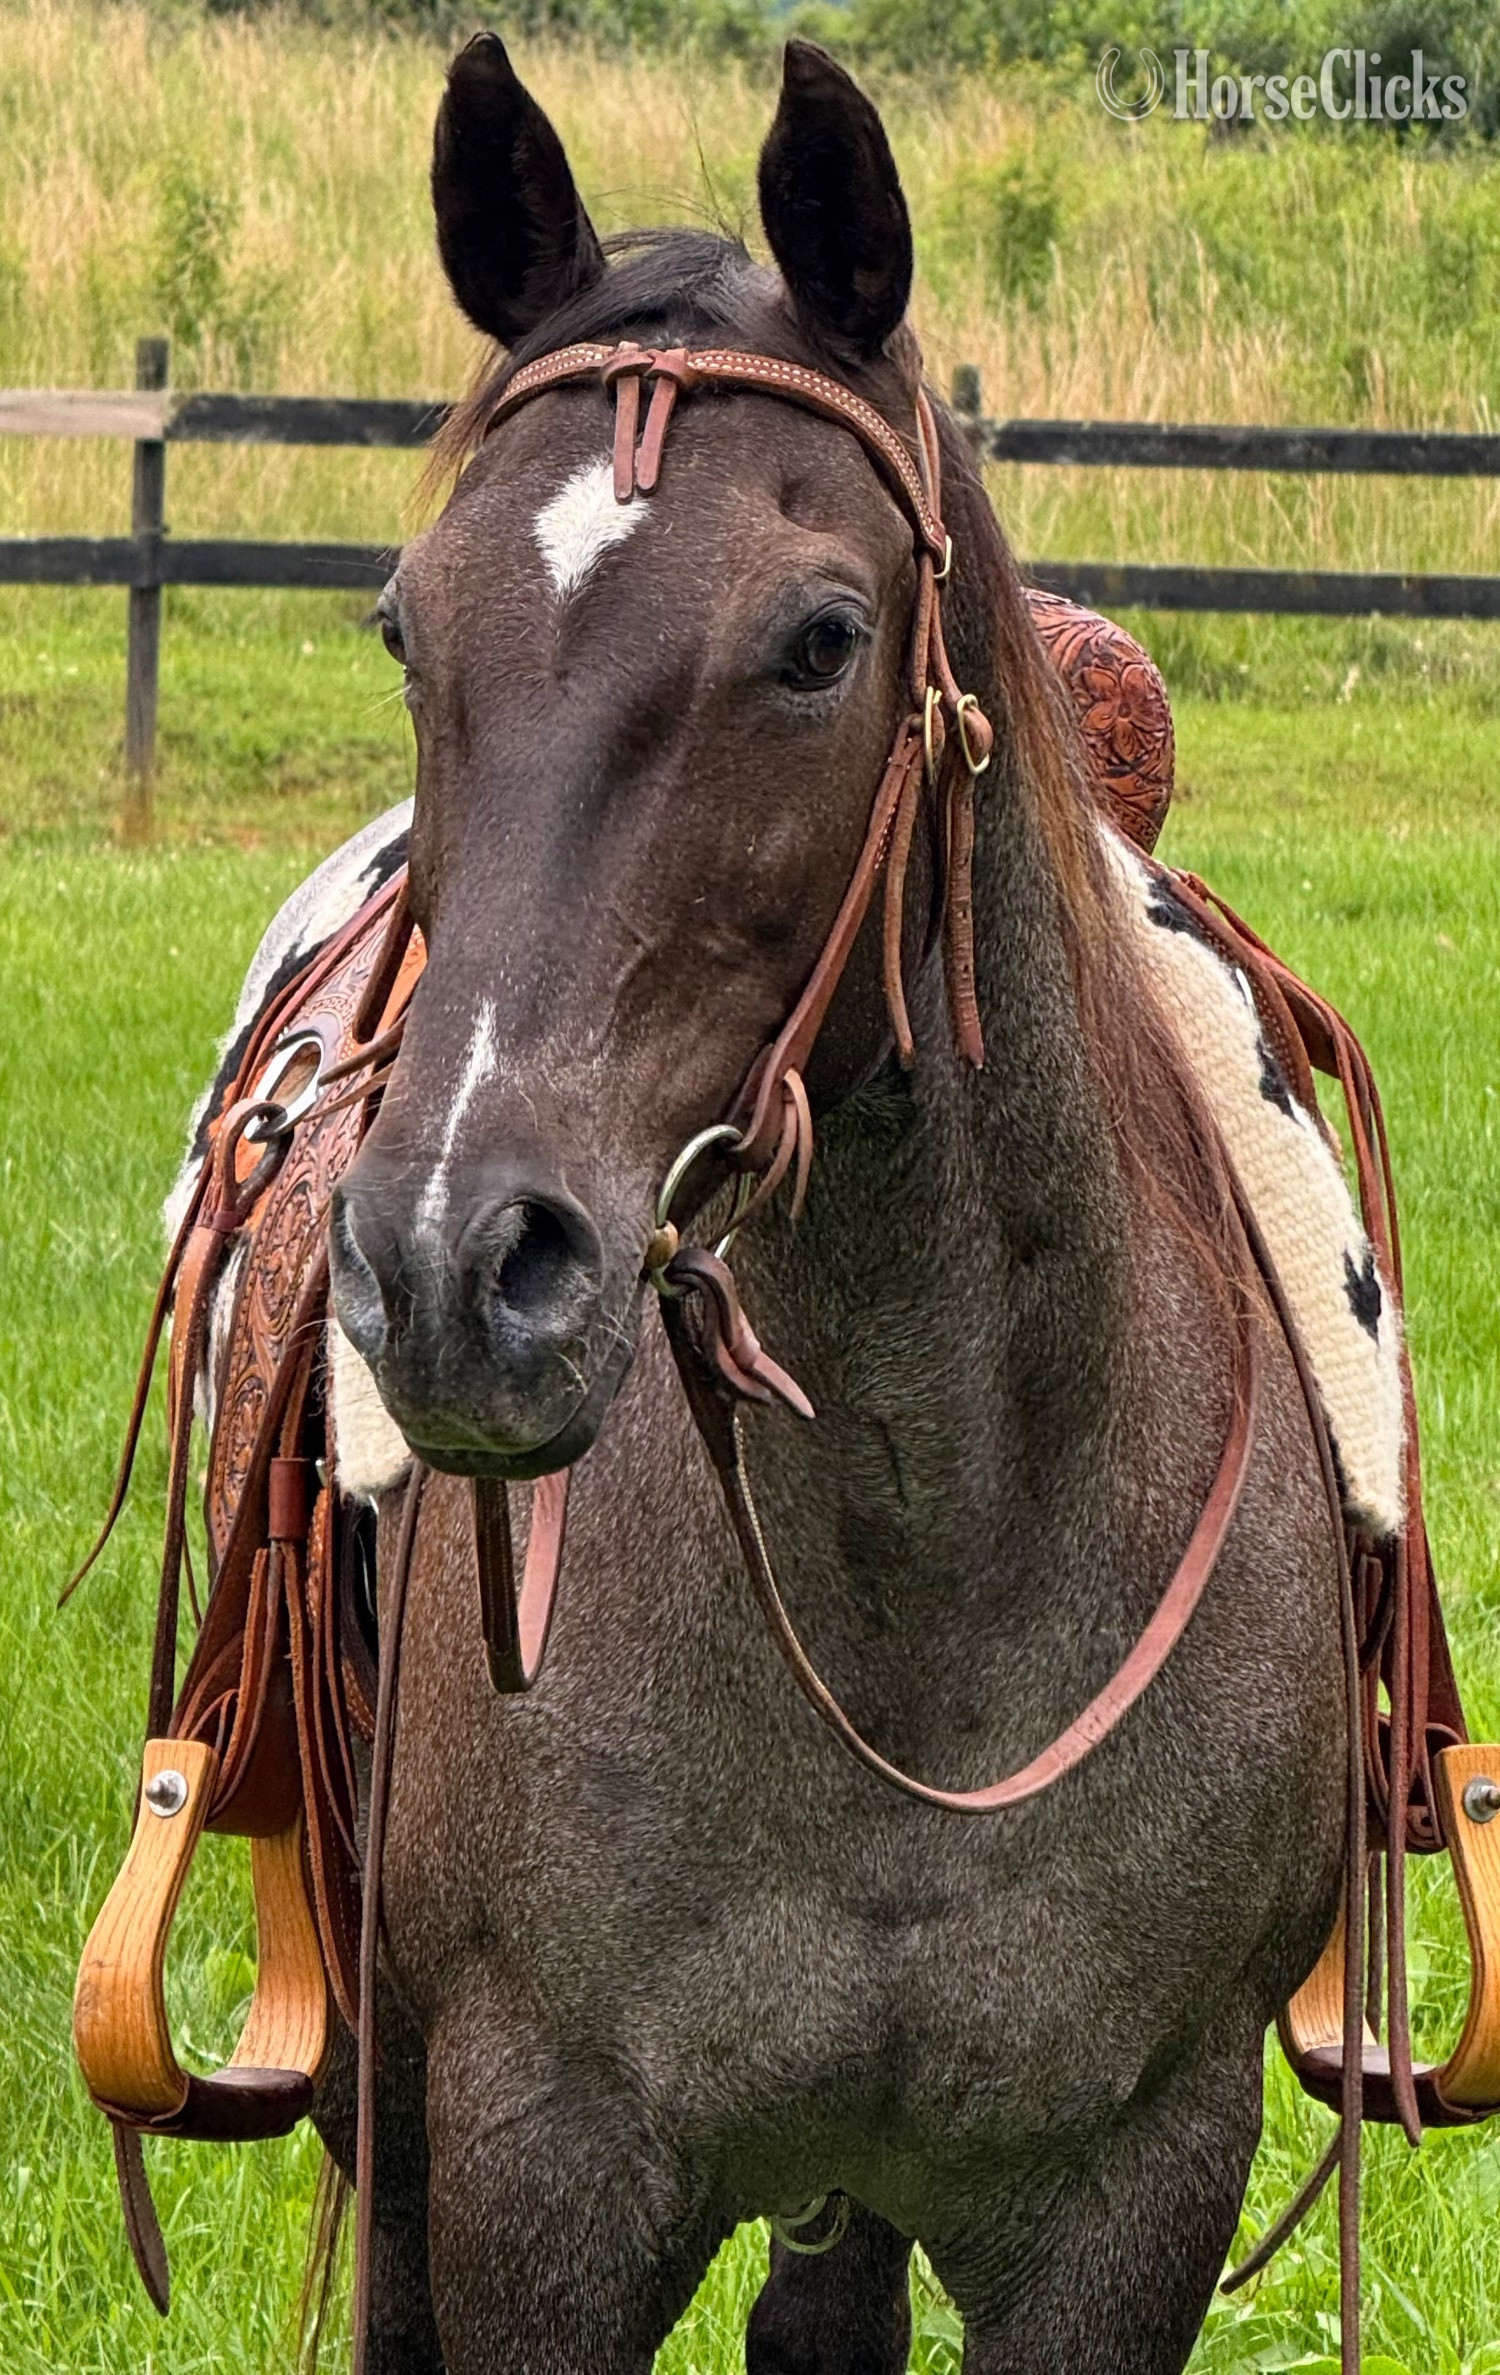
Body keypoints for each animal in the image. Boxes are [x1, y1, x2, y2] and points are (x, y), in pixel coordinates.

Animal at [312, 36, 1347, 2372]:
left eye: (817, 639)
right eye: (407, 626)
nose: (450, 1268)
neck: (931, 1590)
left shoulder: (1135, 2189)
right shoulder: (532, 2170)